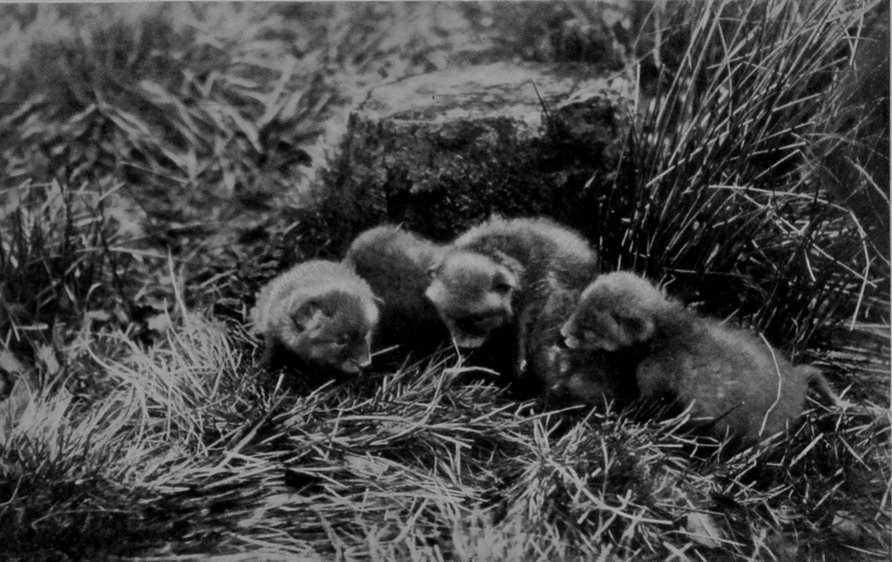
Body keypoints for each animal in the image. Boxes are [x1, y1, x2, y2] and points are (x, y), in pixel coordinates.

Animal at [250, 260, 379, 374]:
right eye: (340, 341)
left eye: (366, 333)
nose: (365, 364)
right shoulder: (271, 330)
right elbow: (270, 351)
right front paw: (259, 366)